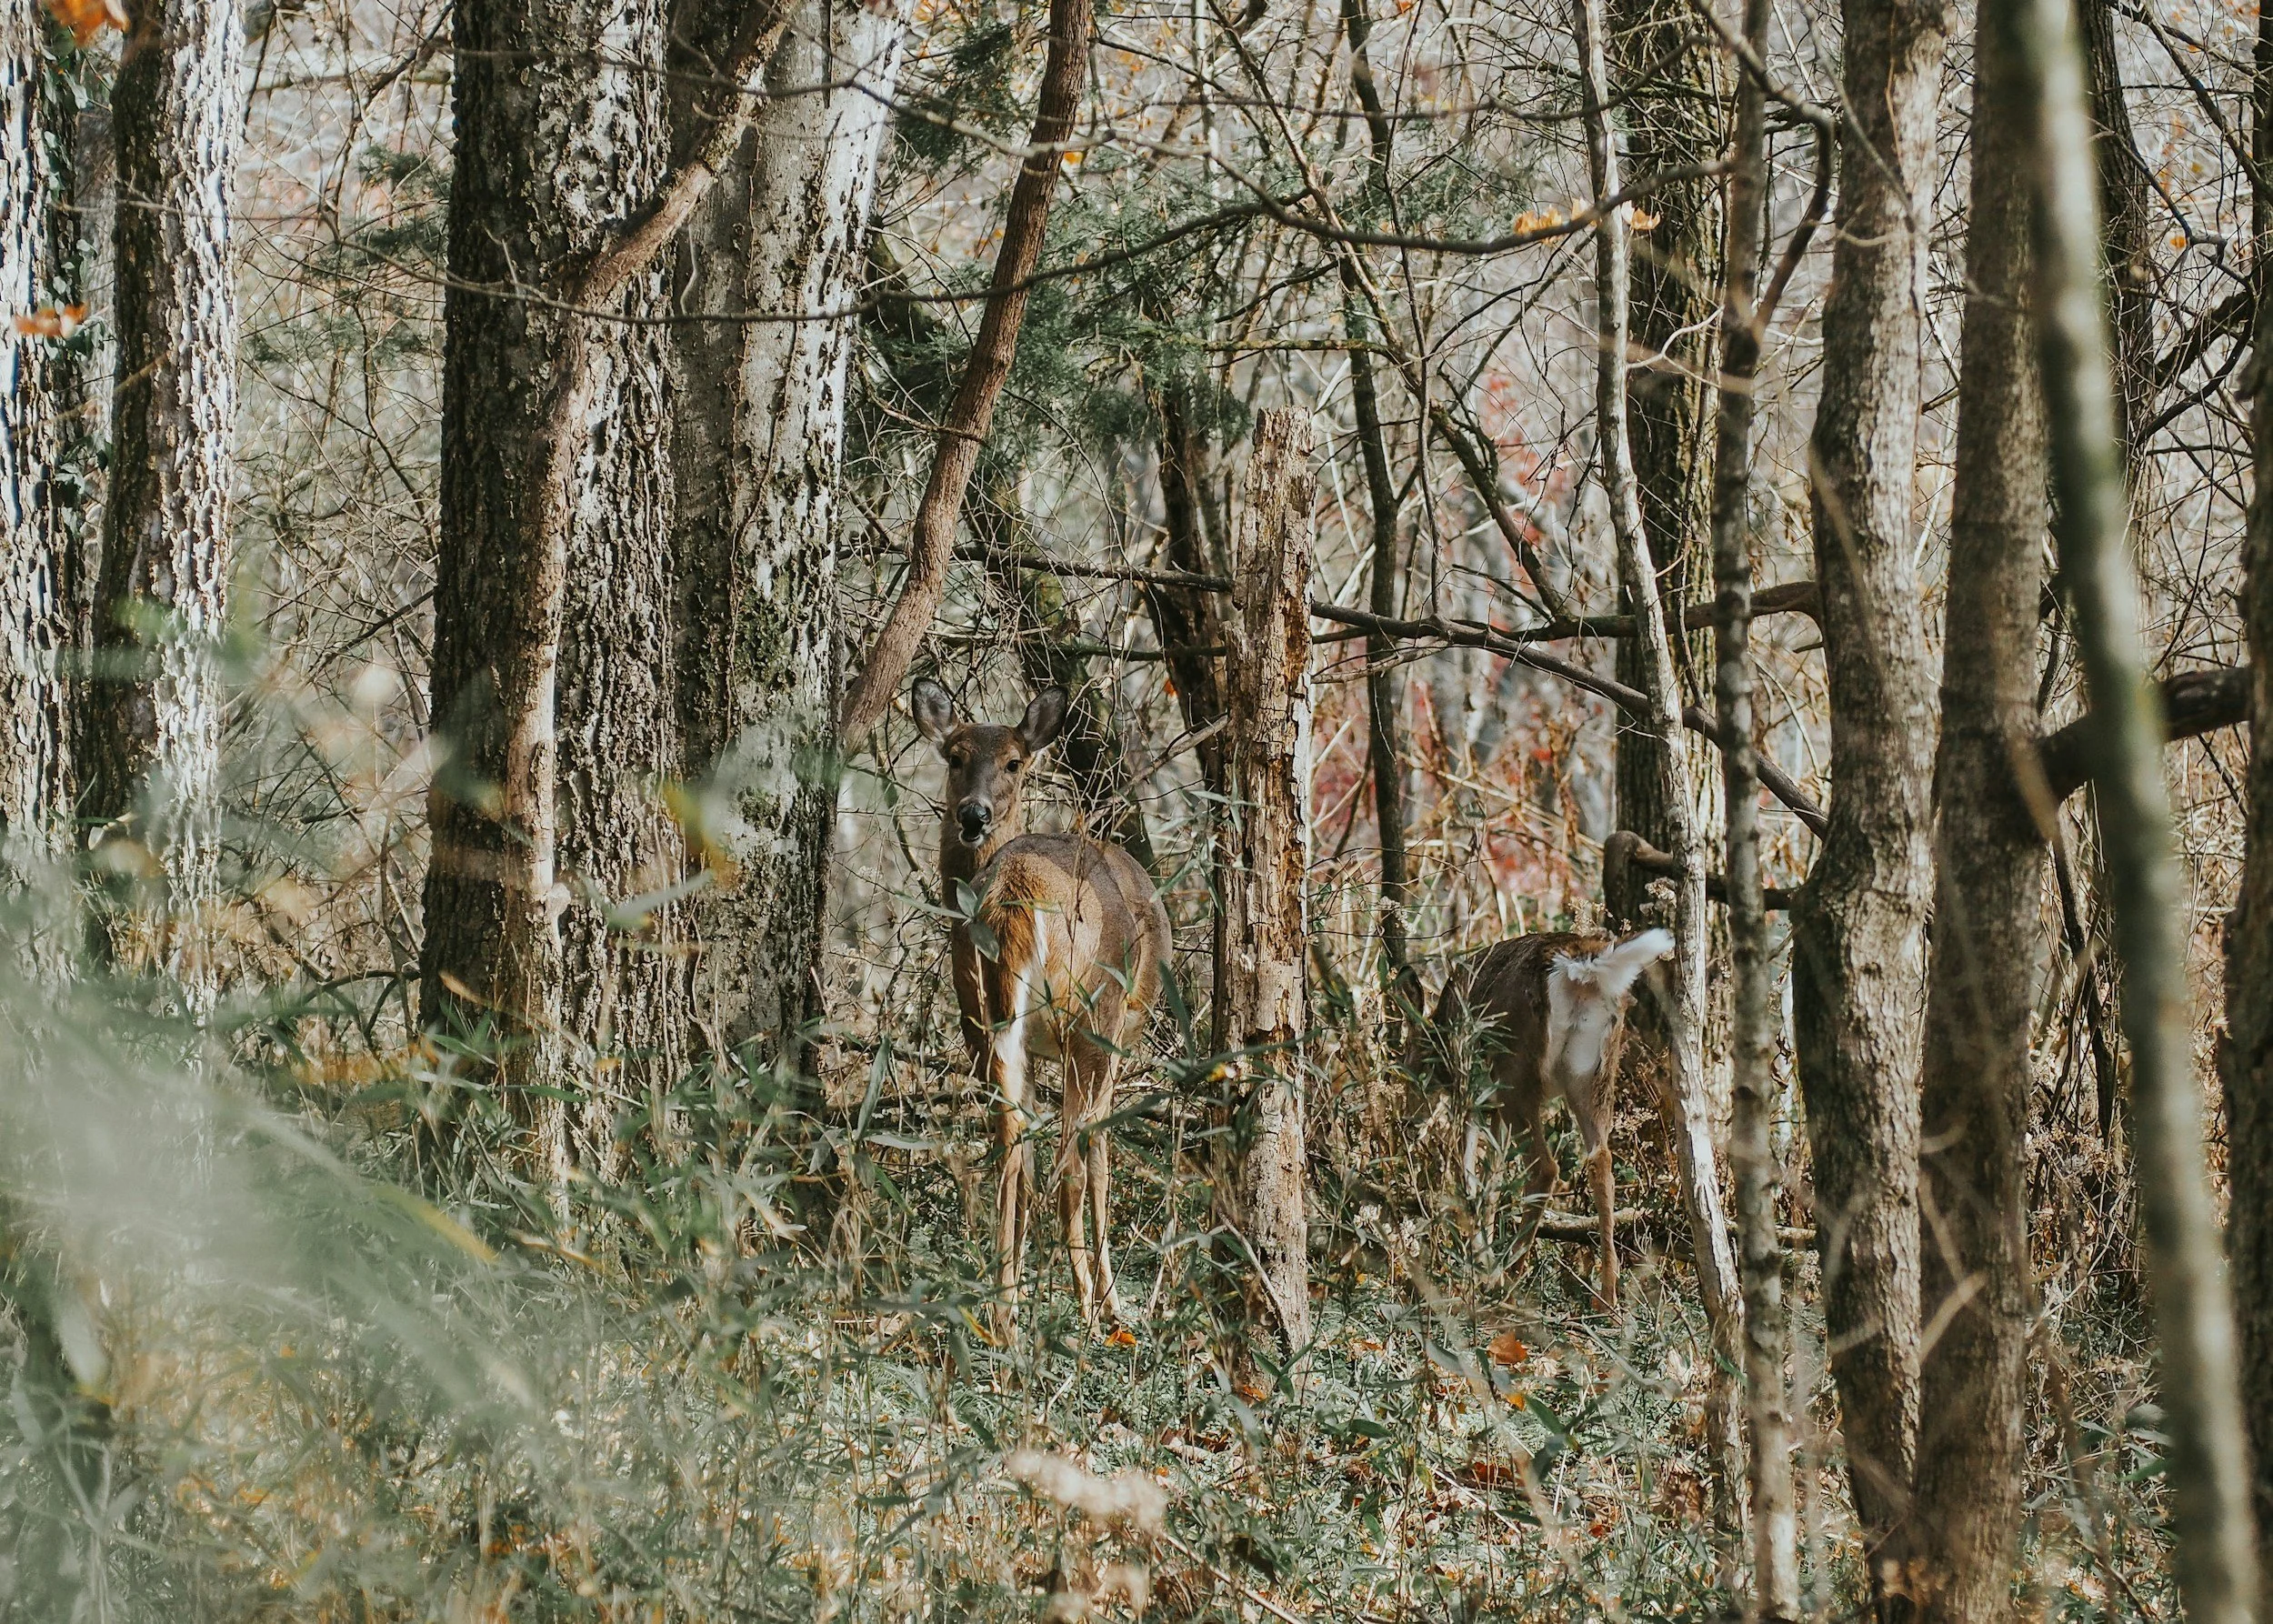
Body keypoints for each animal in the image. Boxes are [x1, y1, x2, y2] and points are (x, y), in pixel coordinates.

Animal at [909, 677, 1173, 1336]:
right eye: (953, 757)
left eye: (1013, 761)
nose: (973, 814)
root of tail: (1013, 897)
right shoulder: (1111, 1034)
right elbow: (1099, 1159)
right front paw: (1108, 1298)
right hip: (1092, 1017)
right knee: (1073, 1160)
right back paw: (1090, 1311)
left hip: (982, 1018)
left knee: (1014, 1143)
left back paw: (1004, 1309)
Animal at [1411, 926, 1673, 1310]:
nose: (1409, 1118)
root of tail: (1581, 968)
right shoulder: (1491, 1110)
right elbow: (1492, 1182)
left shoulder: (1470, 1091)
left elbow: (1468, 1176)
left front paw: (1480, 1263)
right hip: (1593, 1075)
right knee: (1601, 1160)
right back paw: (1606, 1298)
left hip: (1515, 1072)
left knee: (1546, 1167)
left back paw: (1507, 1278)